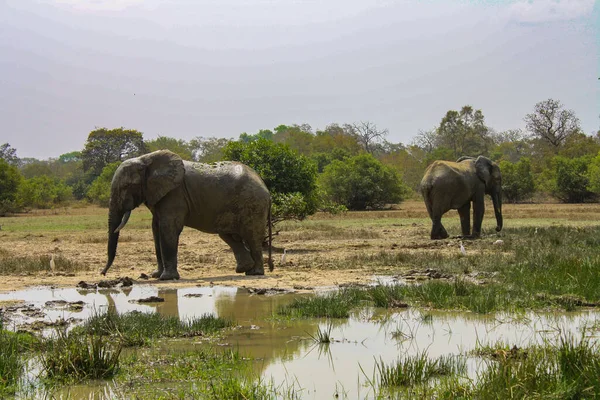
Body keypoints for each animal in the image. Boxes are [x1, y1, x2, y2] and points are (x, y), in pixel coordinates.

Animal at [102, 151, 274, 282]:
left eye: (126, 186)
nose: (102, 273)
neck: (146, 160)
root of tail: (266, 188)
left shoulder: (174, 195)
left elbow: (168, 229)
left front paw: (166, 278)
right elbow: (156, 230)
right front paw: (156, 275)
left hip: (253, 204)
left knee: (251, 236)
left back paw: (255, 273)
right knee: (230, 235)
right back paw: (245, 269)